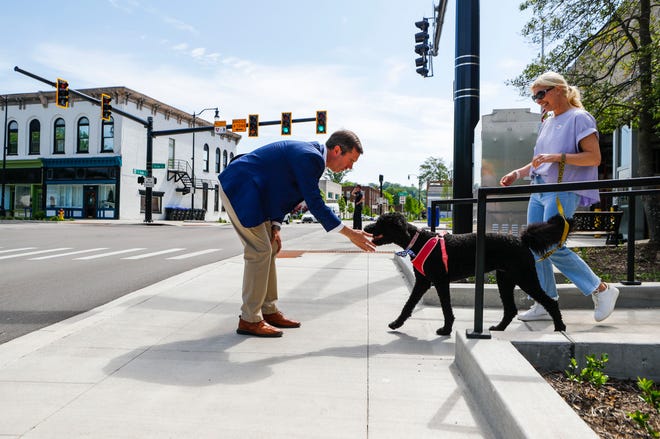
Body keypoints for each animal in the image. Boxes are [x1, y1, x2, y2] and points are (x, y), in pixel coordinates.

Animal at [366, 213, 572, 336]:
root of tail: (521, 240)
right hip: (505, 279)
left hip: (525, 278)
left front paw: (446, 329)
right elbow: (408, 305)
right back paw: (499, 328)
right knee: (511, 309)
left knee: (550, 301)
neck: (418, 240)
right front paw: (396, 323)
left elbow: (446, 308)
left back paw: (560, 328)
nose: (366, 228)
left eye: (380, 222)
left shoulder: (440, 281)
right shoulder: (423, 282)